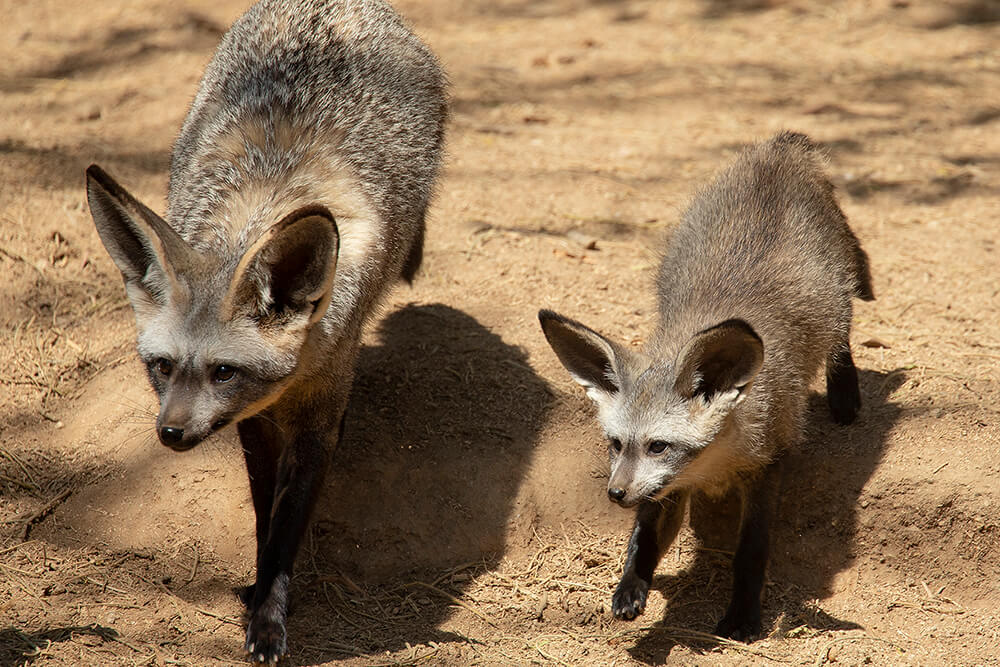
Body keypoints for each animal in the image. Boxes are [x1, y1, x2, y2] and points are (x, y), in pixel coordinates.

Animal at [85, 0, 446, 664]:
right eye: (162, 367)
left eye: (224, 371)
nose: (170, 433)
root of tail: (334, 6)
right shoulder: (252, 422)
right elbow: (261, 514)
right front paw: (259, 594)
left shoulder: (320, 416)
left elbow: (287, 524)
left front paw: (271, 617)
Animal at [536, 132, 872, 640]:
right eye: (615, 444)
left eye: (658, 445)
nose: (615, 494)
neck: (715, 466)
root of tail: (778, 150)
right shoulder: (665, 489)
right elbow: (644, 540)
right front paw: (631, 587)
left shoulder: (769, 463)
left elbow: (751, 552)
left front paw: (743, 616)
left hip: (833, 298)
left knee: (842, 330)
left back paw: (844, 394)